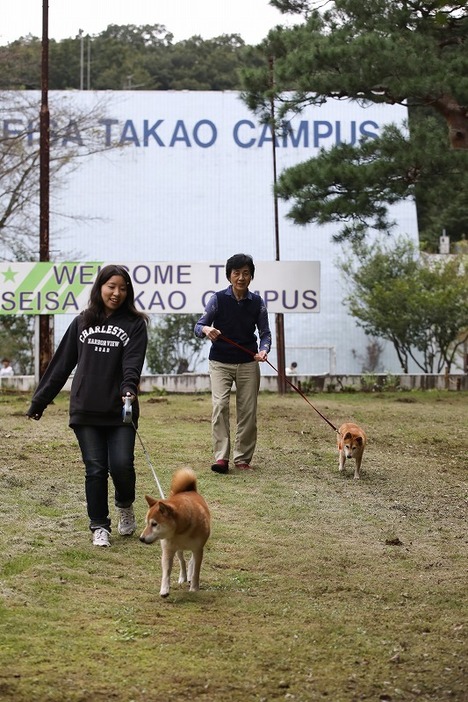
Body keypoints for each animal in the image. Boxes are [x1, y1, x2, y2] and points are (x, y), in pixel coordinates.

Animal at [139, 468, 210, 600]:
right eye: (146, 523)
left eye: (154, 524)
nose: (141, 538)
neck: (181, 531)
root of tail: (189, 490)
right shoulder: (168, 550)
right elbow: (166, 572)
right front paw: (164, 590)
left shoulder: (198, 549)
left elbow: (196, 571)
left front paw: (194, 588)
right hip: (178, 550)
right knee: (182, 561)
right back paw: (183, 577)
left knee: (191, 561)